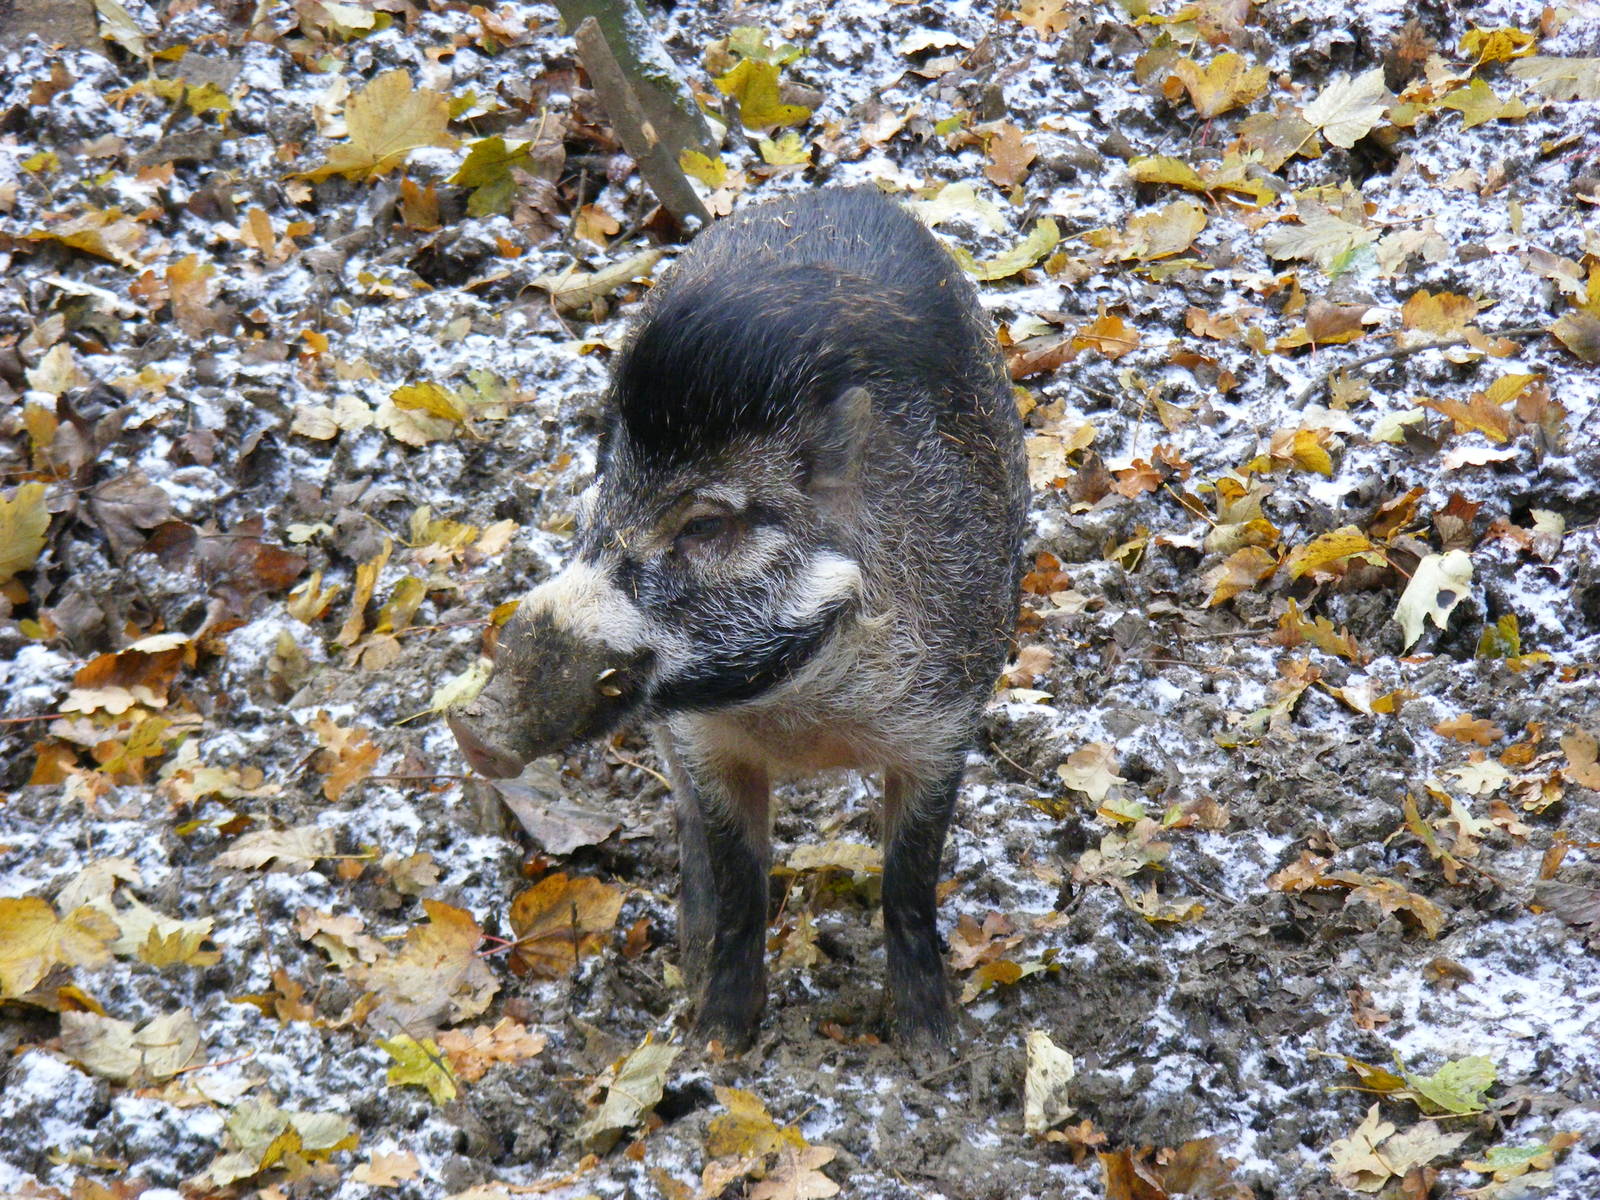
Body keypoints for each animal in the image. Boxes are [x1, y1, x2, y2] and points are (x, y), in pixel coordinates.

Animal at [450, 186, 1028, 1050]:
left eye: (705, 525)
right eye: (600, 503)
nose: (472, 728)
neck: (805, 712)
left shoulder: (942, 725)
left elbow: (907, 880)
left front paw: (932, 1048)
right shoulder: (704, 739)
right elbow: (739, 878)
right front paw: (716, 1043)